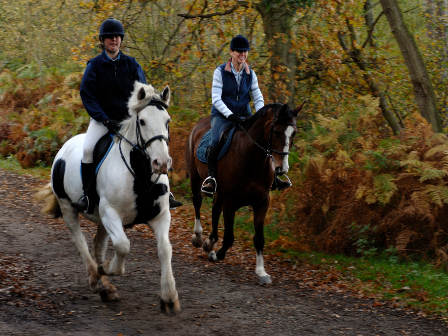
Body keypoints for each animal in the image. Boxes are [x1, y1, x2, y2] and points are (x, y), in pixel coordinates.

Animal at [34, 81, 180, 316]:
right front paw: (111, 269)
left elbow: (165, 249)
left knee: (97, 243)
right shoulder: (111, 214)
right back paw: (99, 280)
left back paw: (105, 285)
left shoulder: (161, 215)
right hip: (68, 207)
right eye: (142, 121)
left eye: (167, 121)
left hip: (101, 218)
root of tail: (65, 147)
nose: (161, 163)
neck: (140, 174)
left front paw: (169, 297)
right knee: (80, 242)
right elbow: (123, 245)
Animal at [186, 102, 304, 284]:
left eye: (294, 133)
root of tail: (200, 123)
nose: (281, 169)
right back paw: (199, 238)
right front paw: (216, 255)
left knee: (215, 209)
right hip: (195, 178)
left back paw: (209, 242)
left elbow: (259, 239)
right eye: (276, 131)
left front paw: (262, 272)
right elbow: (229, 237)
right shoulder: (231, 202)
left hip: (219, 192)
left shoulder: (262, 202)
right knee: (197, 203)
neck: (253, 159)